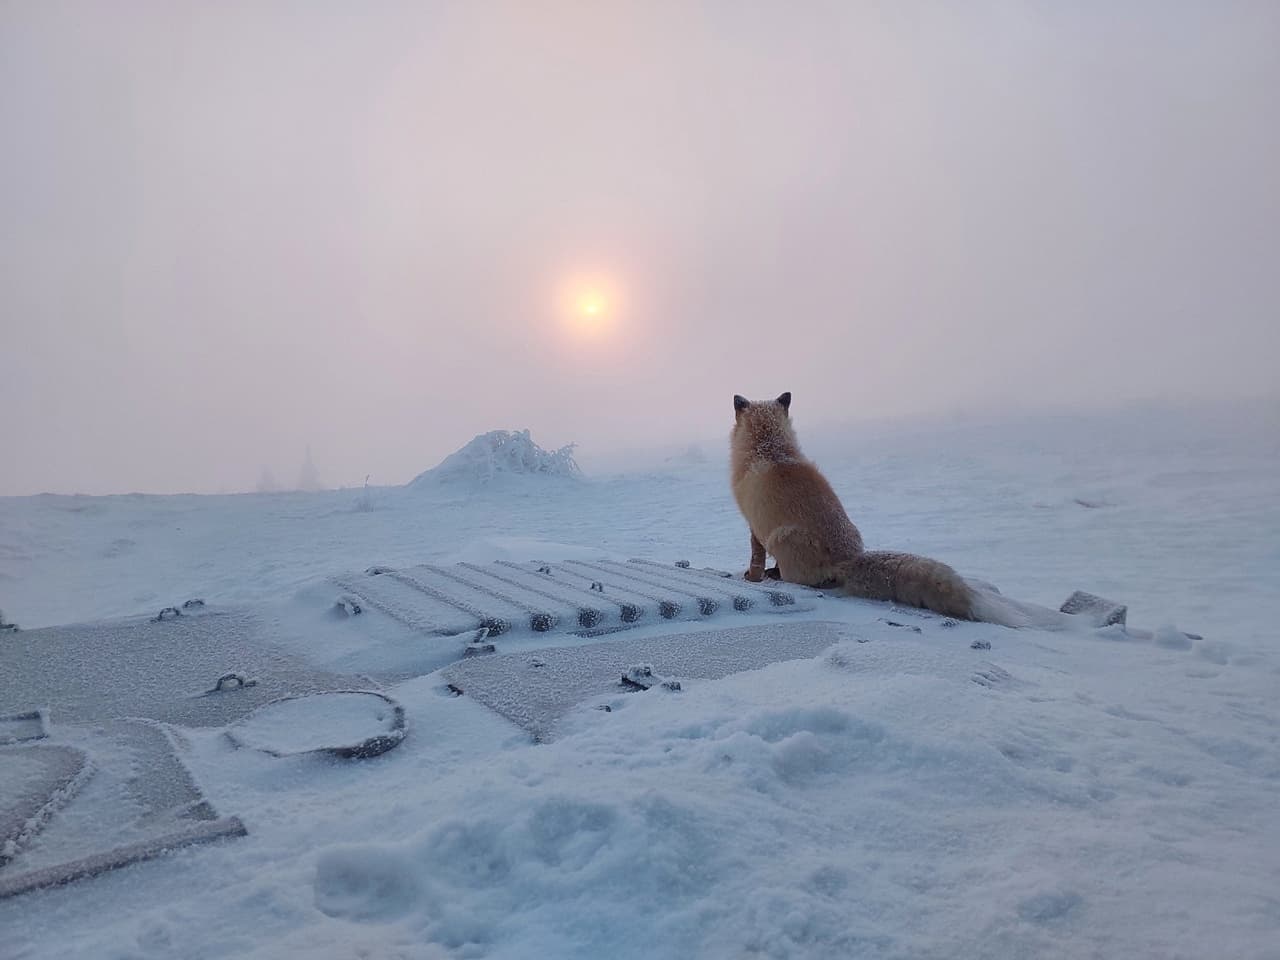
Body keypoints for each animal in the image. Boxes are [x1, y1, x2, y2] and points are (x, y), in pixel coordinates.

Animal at [730, 391, 1019, 625]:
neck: (770, 449)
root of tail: (848, 558)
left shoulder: (754, 525)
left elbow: (756, 558)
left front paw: (753, 578)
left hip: (783, 537)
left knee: (803, 580)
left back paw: (780, 577)